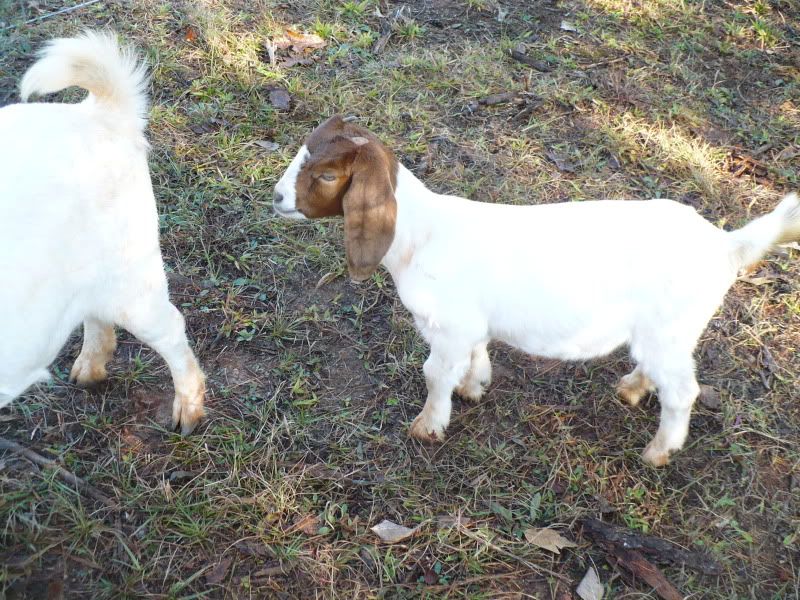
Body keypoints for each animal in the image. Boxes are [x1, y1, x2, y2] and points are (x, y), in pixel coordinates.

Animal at [273, 115, 800, 466]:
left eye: (327, 174)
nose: (277, 197)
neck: (418, 234)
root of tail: (725, 244)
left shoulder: (448, 327)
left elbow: (434, 374)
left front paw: (428, 426)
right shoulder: (471, 325)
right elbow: (476, 356)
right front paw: (474, 387)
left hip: (669, 328)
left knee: (683, 391)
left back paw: (657, 451)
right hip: (666, 334)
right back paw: (631, 388)